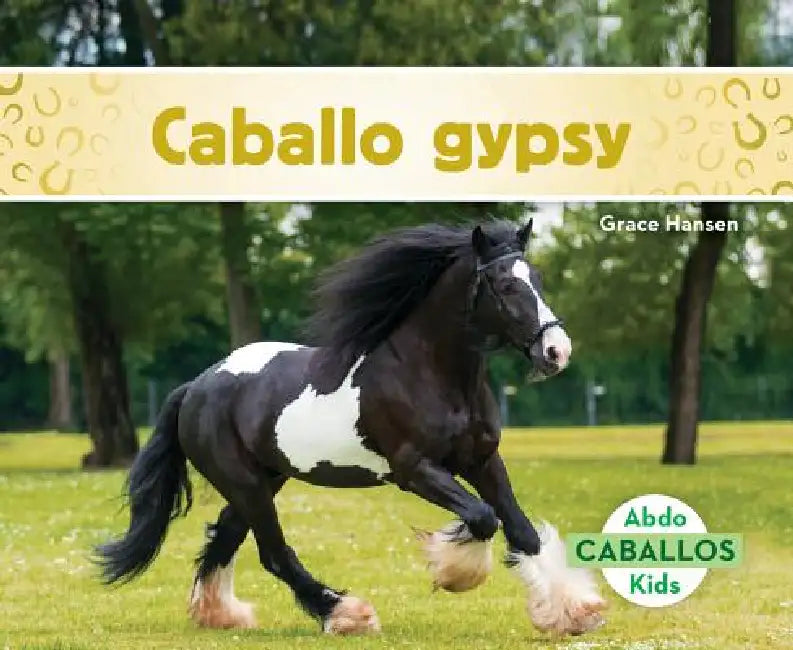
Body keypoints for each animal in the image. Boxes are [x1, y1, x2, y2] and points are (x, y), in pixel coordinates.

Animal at [95, 219, 606, 637]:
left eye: (537, 279)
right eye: (504, 285)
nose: (557, 351)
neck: (429, 373)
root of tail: (196, 386)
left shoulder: (481, 460)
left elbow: (521, 530)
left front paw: (572, 613)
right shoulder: (413, 469)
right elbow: (482, 518)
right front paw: (453, 570)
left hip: (263, 480)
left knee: (224, 536)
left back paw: (220, 614)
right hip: (246, 484)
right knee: (273, 554)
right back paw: (346, 614)